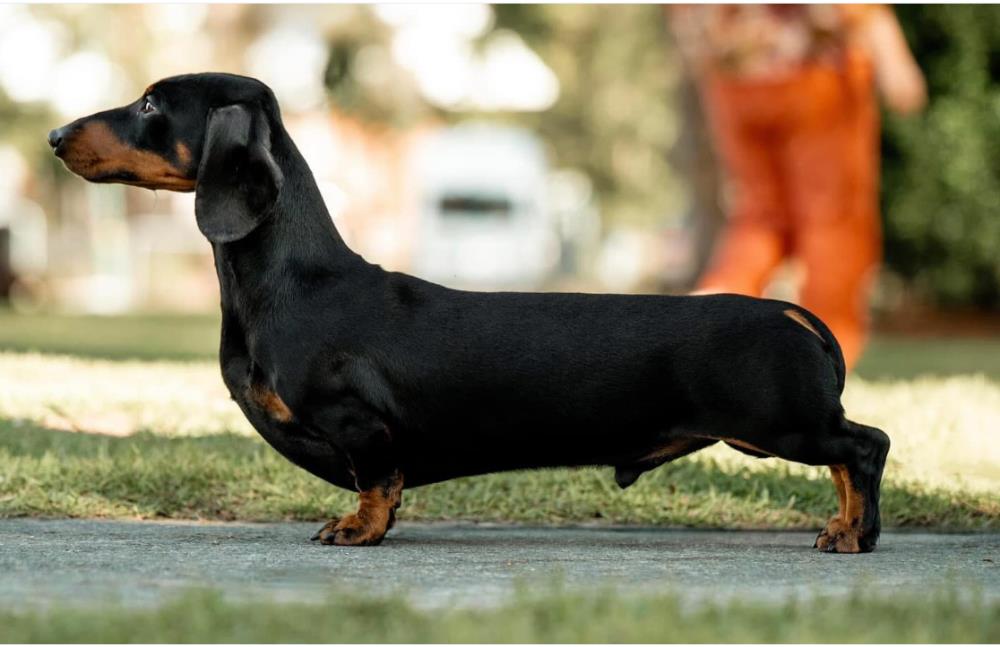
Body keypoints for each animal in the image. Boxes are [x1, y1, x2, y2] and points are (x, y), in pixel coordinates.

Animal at [49, 73, 890, 551]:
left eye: (151, 102)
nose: (54, 135)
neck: (295, 280)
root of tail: (789, 313)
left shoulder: (362, 425)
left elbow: (376, 482)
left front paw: (357, 528)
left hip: (777, 423)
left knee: (865, 445)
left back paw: (855, 531)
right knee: (852, 454)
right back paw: (848, 527)